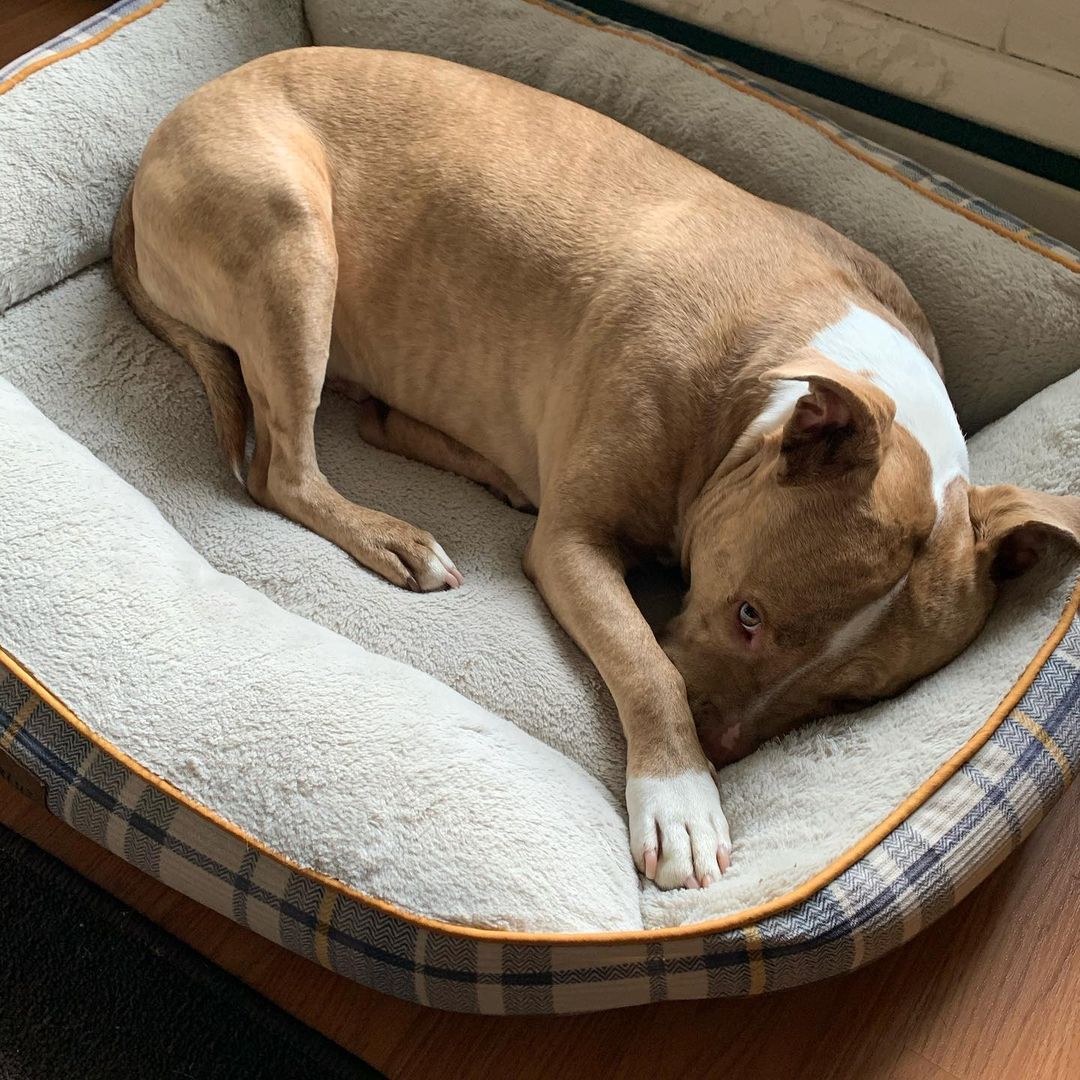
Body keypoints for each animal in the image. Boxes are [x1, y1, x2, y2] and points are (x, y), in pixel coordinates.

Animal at [113, 48, 1080, 894]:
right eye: (750, 615)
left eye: (850, 702)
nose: (720, 747)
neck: (764, 383)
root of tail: (167, 131)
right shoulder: (574, 546)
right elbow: (646, 665)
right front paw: (680, 798)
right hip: (290, 246)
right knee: (282, 468)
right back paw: (391, 535)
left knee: (367, 426)